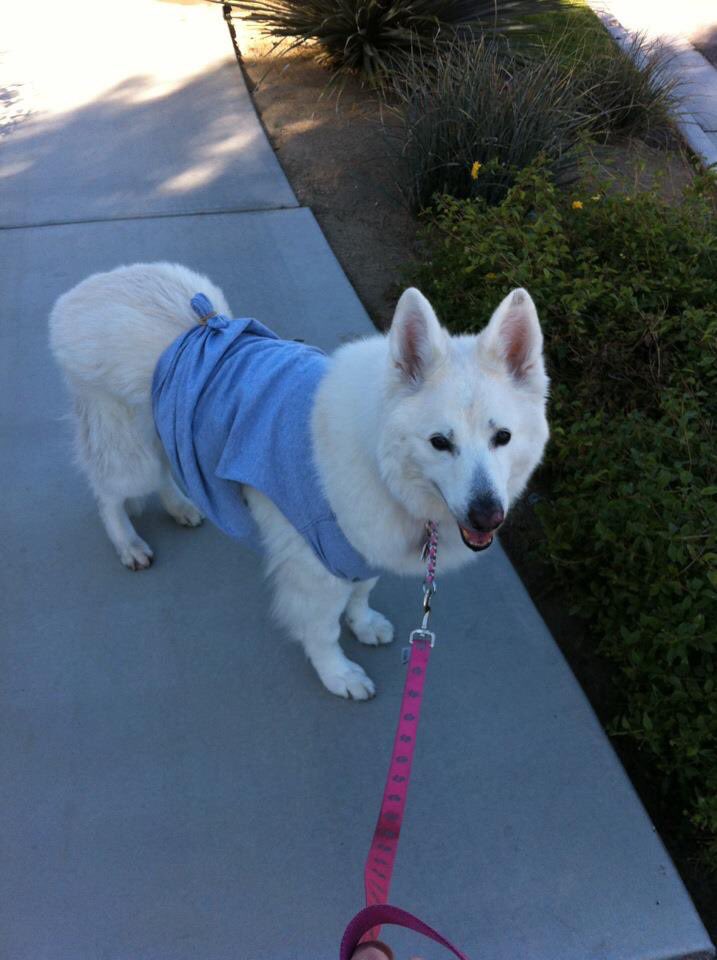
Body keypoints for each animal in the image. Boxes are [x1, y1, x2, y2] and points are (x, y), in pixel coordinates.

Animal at [49, 262, 548, 696]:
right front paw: (338, 675)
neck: (378, 458)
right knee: (108, 495)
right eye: (439, 442)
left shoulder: (356, 551)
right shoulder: (316, 568)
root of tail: (93, 288)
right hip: (131, 455)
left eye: (502, 437)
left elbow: (362, 592)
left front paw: (363, 624)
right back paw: (128, 544)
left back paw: (180, 507)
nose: (487, 517)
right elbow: (323, 630)